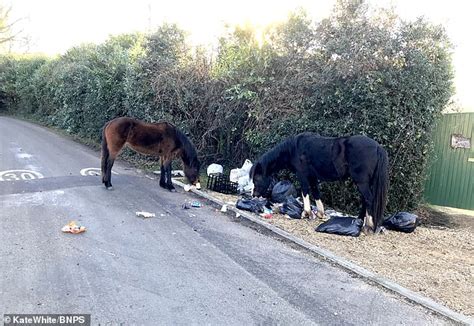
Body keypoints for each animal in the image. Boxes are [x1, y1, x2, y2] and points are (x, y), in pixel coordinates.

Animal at [250, 132, 386, 234]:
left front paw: (306, 213)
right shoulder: (313, 177)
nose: (254, 195)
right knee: (365, 200)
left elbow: (305, 191)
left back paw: (368, 227)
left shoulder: (303, 176)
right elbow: (316, 193)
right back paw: (359, 221)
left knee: (369, 199)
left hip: (362, 182)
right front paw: (321, 214)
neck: (293, 149)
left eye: (256, 178)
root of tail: (378, 147)